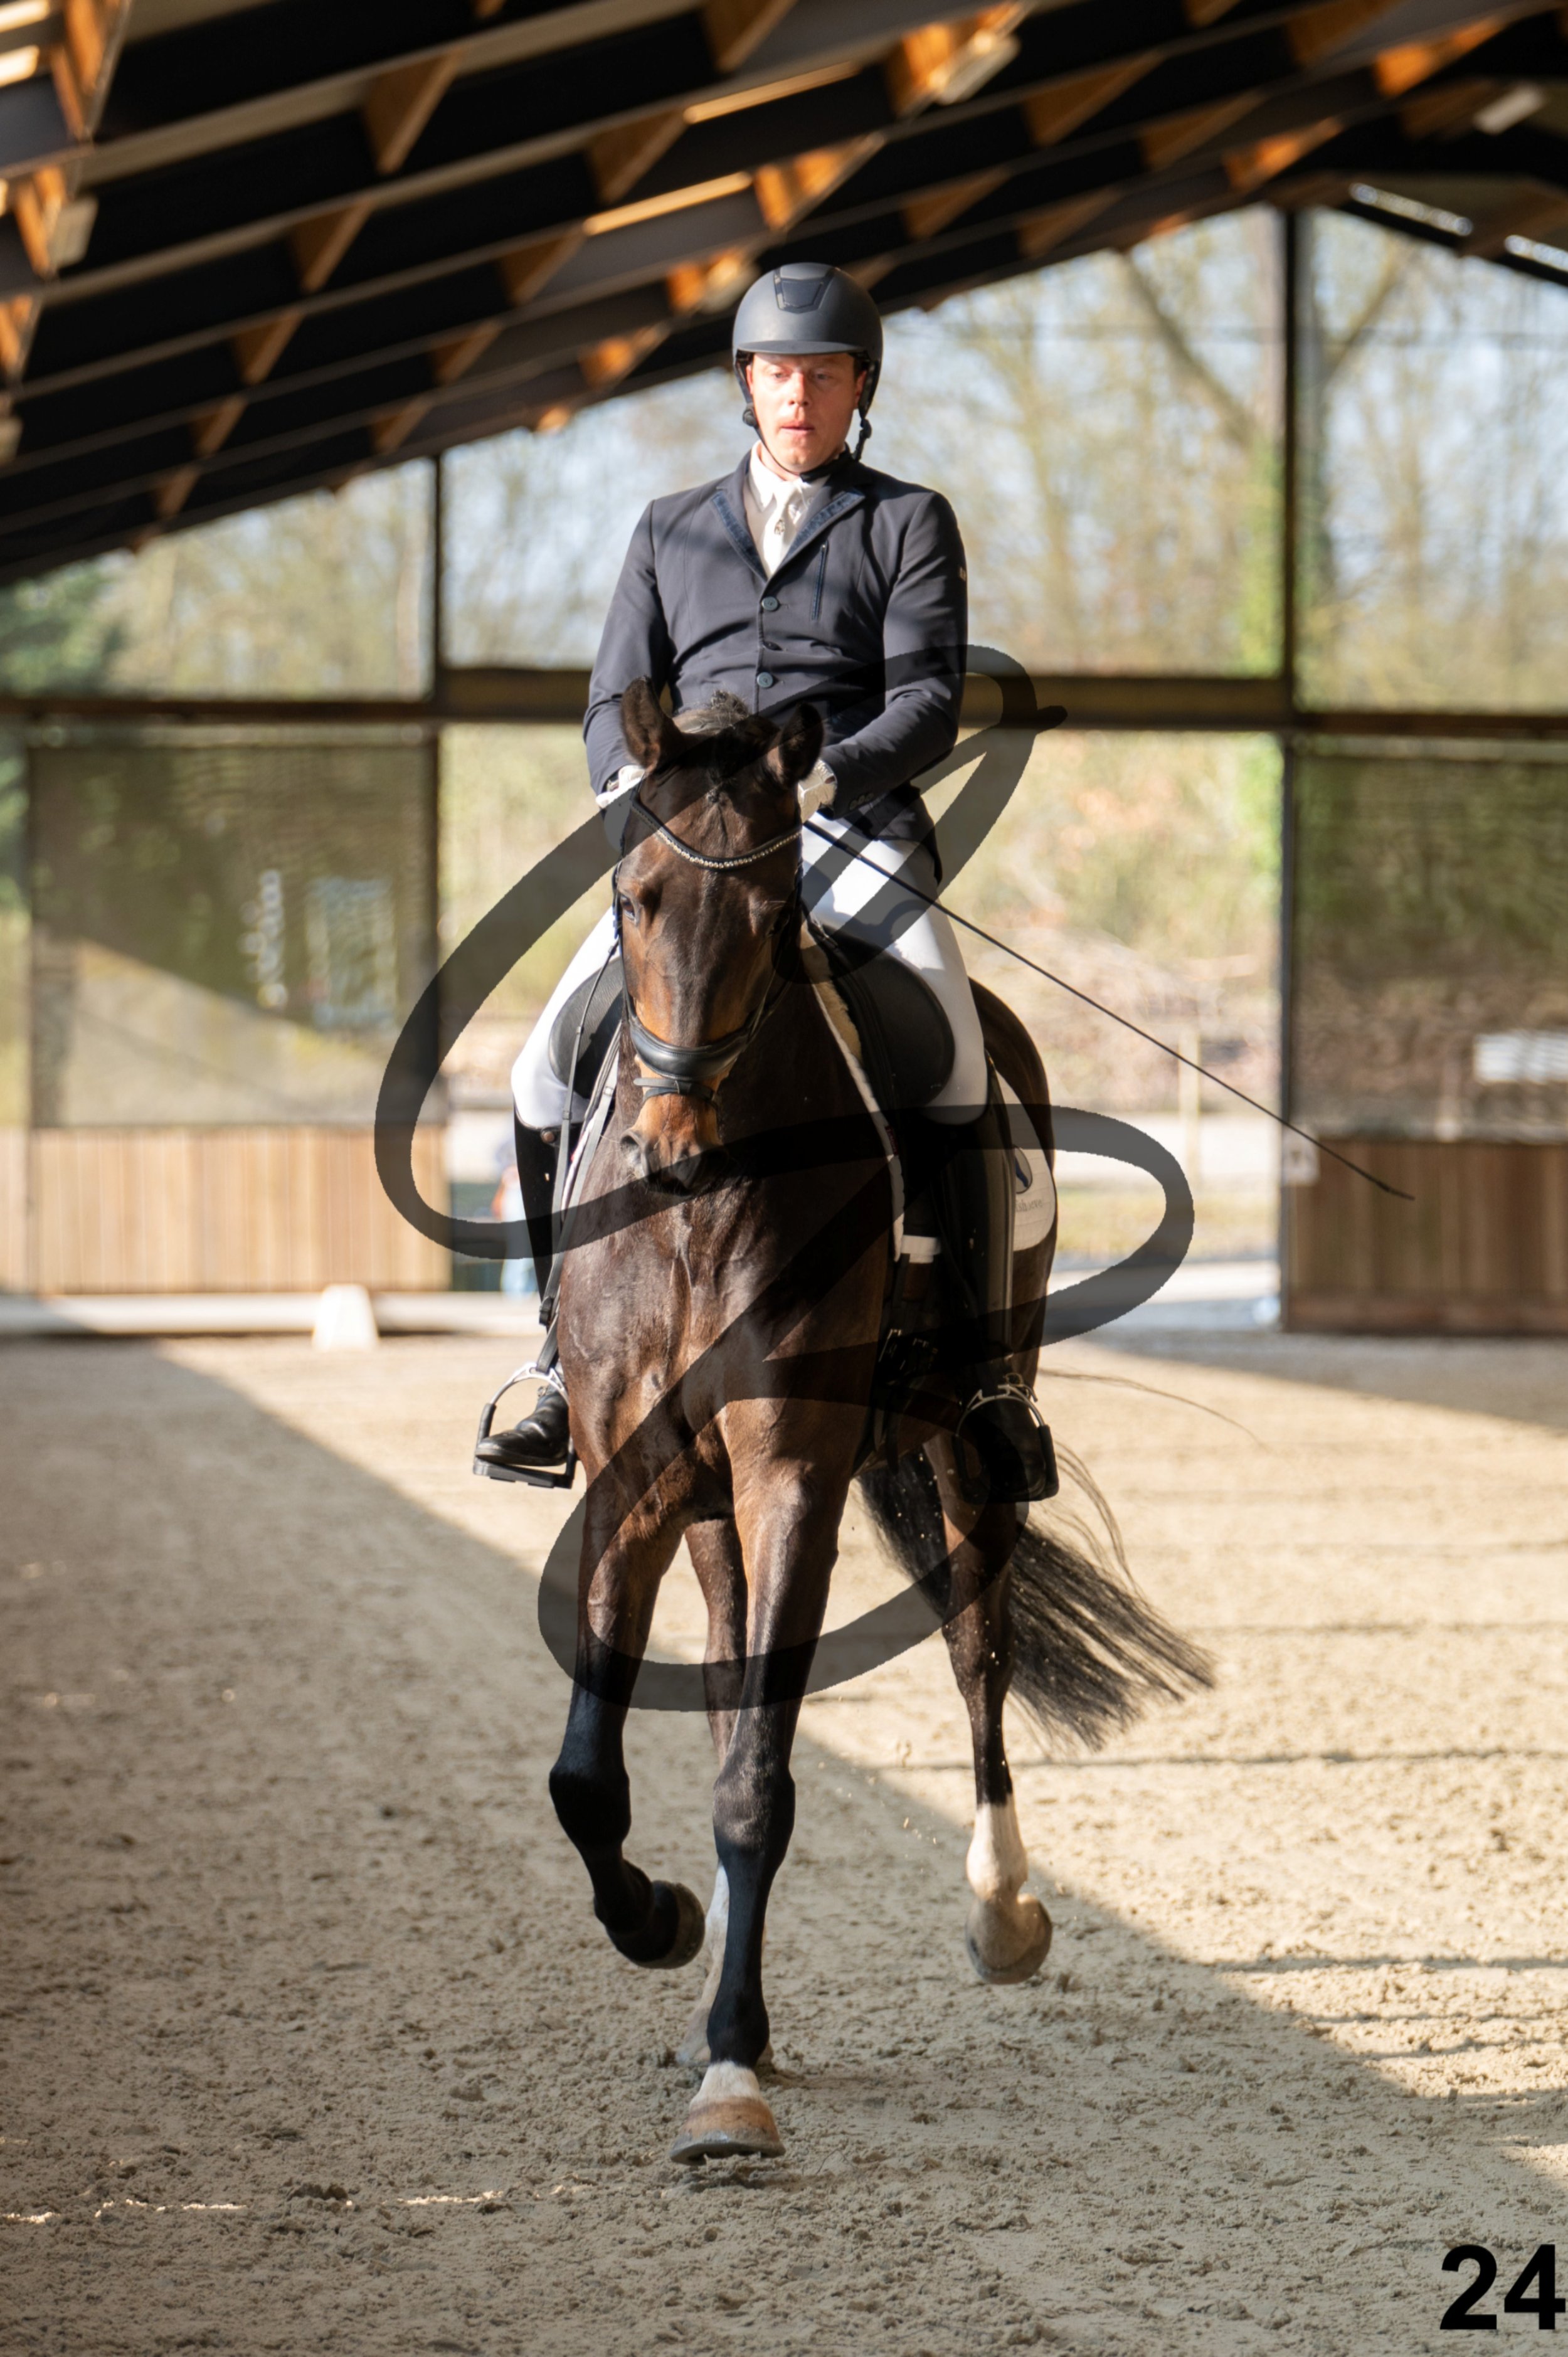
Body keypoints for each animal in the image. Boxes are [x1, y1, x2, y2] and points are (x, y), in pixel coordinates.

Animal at [546, 678, 1210, 2164]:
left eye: (770, 909)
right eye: (632, 896)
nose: (670, 1147)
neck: (703, 1213)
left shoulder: (794, 1469)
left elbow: (759, 1783)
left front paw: (731, 2076)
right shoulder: (632, 1477)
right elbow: (592, 1779)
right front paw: (662, 1925)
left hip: (967, 1444)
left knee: (977, 1651)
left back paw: (1002, 1912)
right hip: (710, 1508)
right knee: (732, 1681)